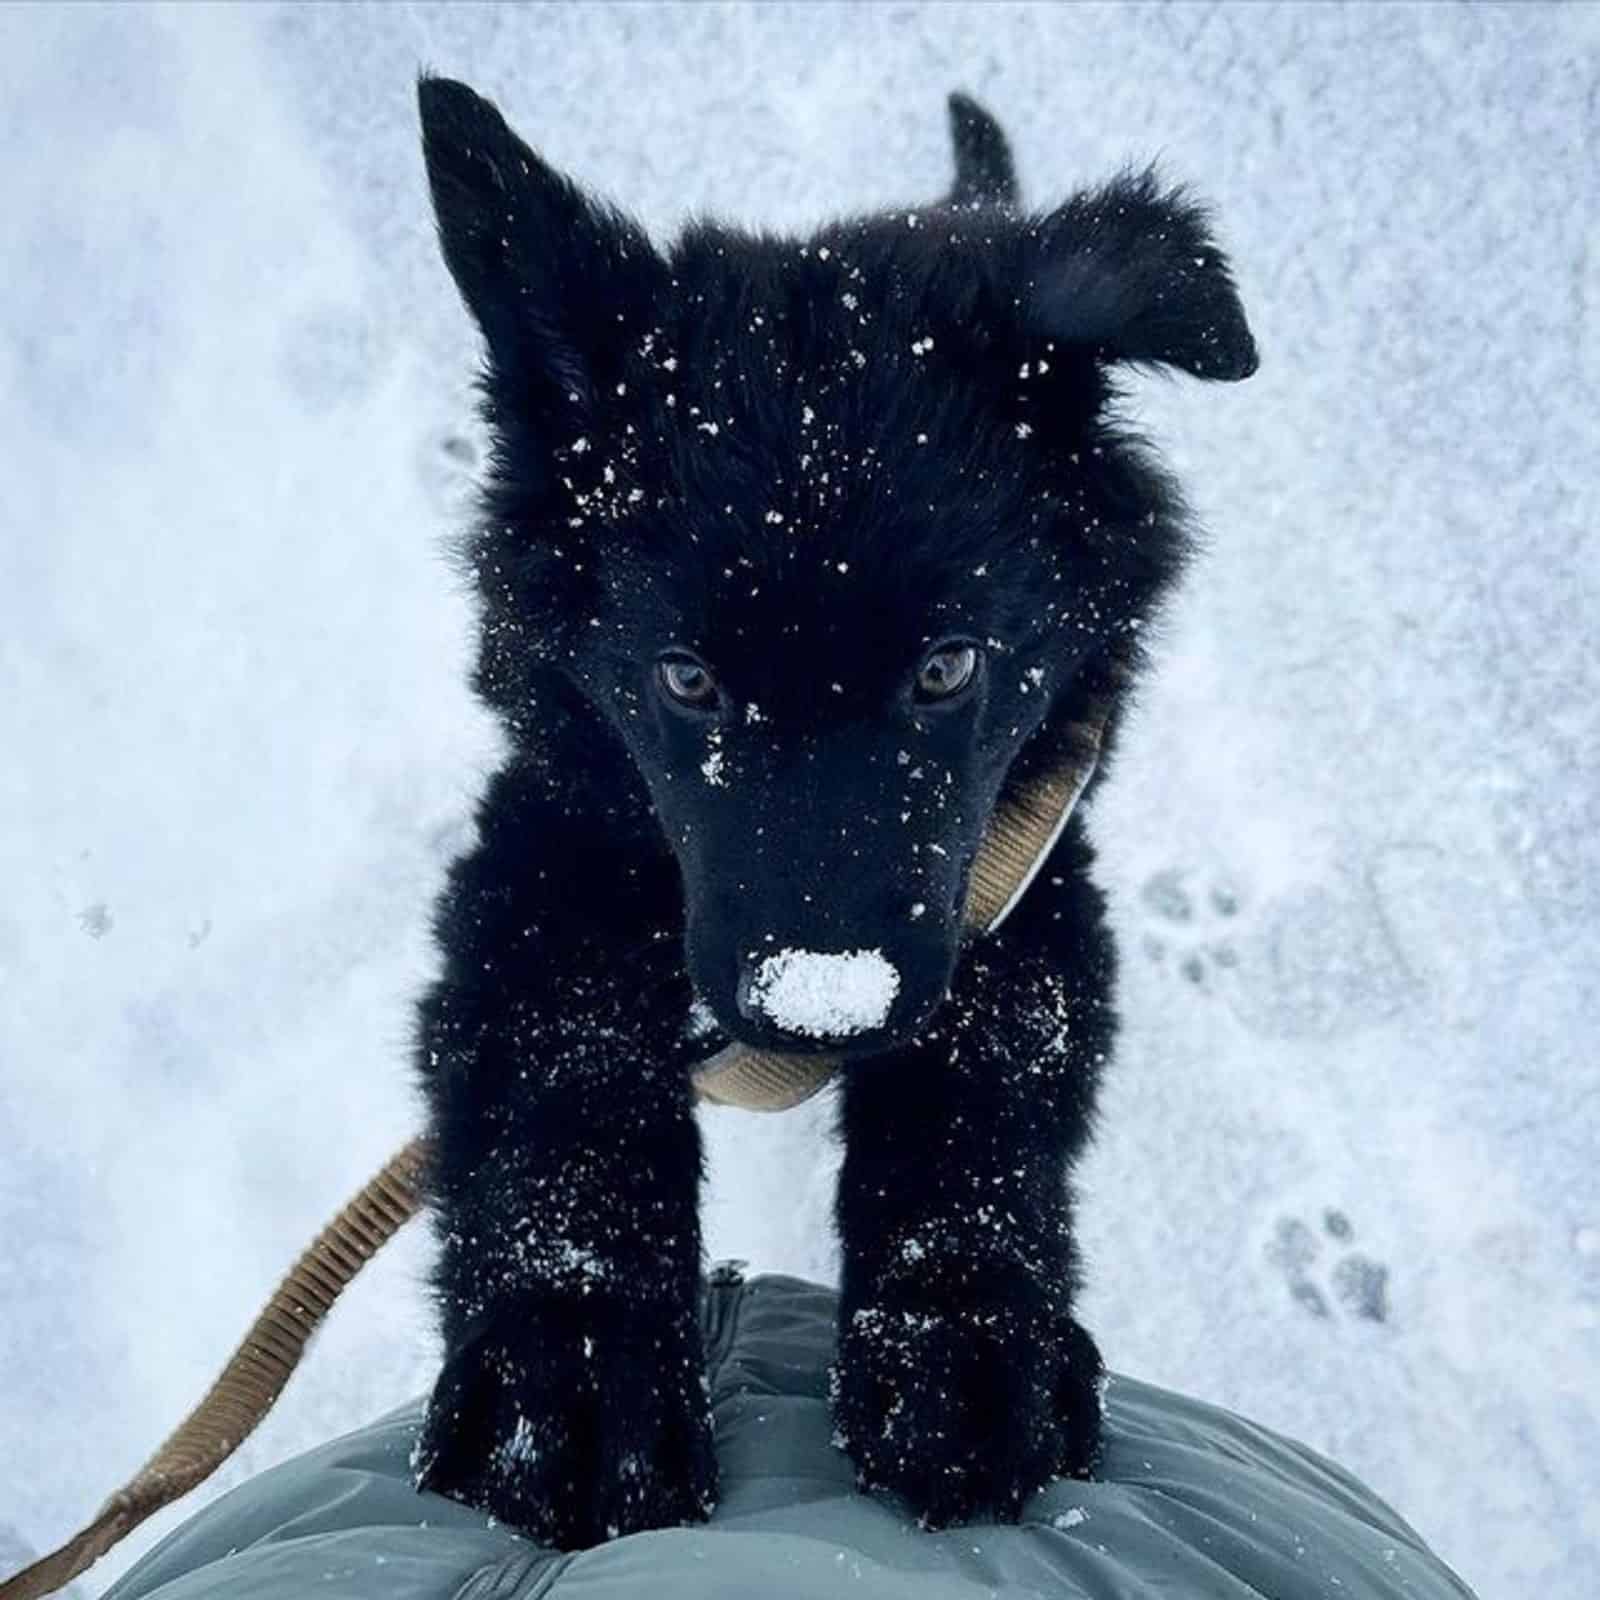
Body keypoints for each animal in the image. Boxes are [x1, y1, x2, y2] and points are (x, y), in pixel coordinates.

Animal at [406, 78, 1254, 1548]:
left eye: (948, 667)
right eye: (687, 678)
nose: (819, 1016)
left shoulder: (1022, 877)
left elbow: (980, 1090)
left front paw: (966, 1337)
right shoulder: (546, 846)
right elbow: (561, 1071)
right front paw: (575, 1362)